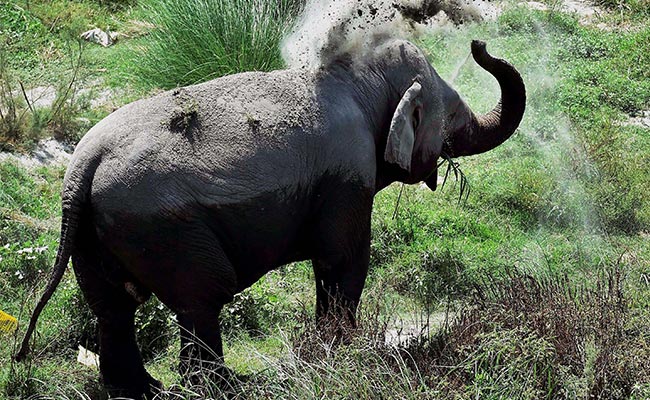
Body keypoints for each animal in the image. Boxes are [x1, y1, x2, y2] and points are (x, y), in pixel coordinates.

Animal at [15, 39, 525, 398]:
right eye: (453, 113)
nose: (479, 44)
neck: (358, 79)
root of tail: (82, 166)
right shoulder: (347, 177)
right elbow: (344, 260)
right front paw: (343, 356)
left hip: (96, 231)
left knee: (113, 307)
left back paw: (144, 391)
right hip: (164, 227)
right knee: (201, 296)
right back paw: (220, 388)